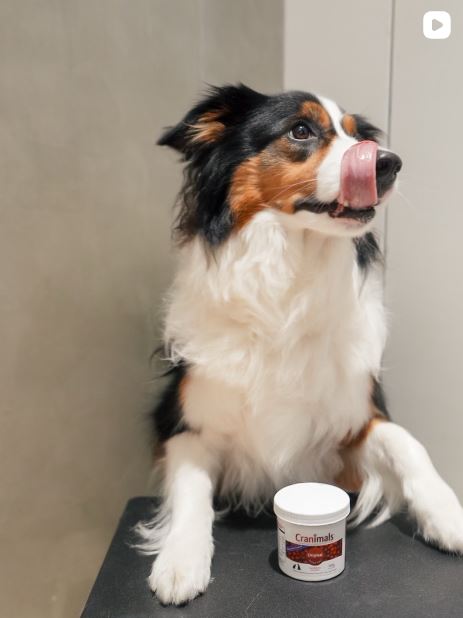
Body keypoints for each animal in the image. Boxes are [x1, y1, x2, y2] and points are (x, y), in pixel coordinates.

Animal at [135, 84, 463, 605]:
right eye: (301, 130)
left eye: (357, 135)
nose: (389, 163)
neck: (288, 279)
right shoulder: (186, 423)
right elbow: (190, 492)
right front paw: (180, 560)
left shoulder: (354, 420)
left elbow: (406, 442)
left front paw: (447, 514)